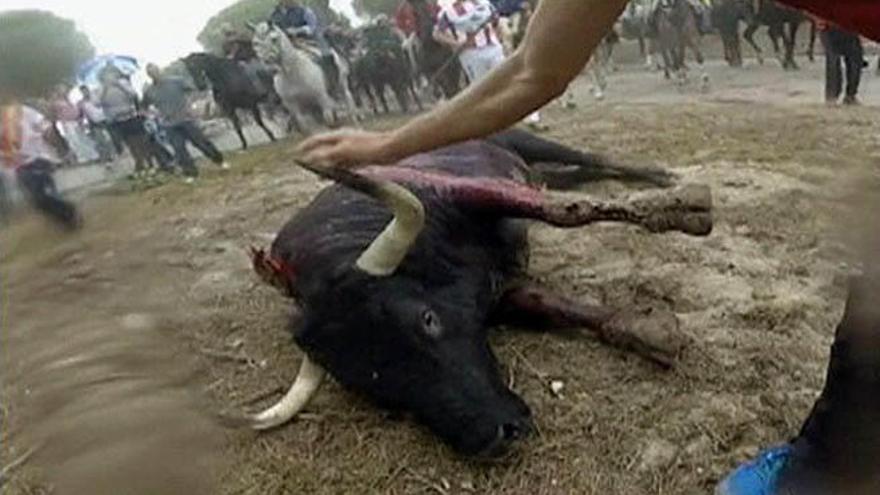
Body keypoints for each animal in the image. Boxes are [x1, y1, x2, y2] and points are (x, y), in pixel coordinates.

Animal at [235, 131, 716, 458]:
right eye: (369, 383)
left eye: (427, 320)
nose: (494, 437)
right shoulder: (499, 290)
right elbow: (552, 305)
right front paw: (648, 330)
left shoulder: (469, 191)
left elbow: (564, 213)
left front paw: (685, 209)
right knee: (572, 175)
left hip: (522, 138)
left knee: (586, 159)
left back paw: (661, 177)